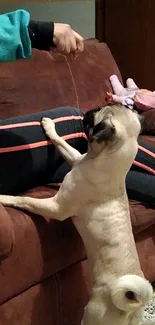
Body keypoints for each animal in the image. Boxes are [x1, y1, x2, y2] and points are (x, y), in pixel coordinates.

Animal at [0, 104, 153, 324]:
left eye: (96, 116)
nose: (89, 110)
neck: (105, 164)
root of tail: (132, 306)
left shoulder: (56, 207)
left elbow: (26, 200)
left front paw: (4, 198)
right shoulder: (76, 158)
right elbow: (62, 143)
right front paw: (49, 126)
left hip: (93, 315)